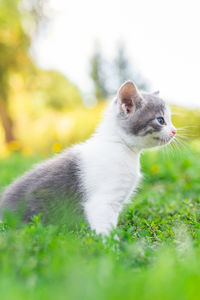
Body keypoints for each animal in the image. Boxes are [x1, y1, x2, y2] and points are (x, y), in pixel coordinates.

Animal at [0, 81, 176, 236]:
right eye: (161, 120)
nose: (174, 131)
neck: (120, 146)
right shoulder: (102, 202)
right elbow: (105, 231)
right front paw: (112, 246)